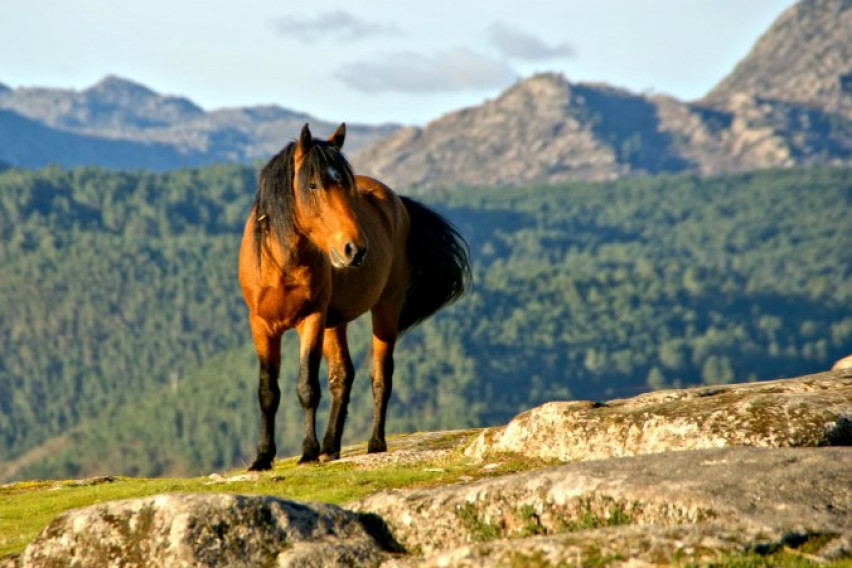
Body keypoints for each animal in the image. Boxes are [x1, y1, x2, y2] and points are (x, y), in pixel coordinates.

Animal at [236, 122, 470, 468]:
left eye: (345, 186)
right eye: (313, 185)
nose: (354, 249)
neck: (281, 263)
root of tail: (397, 201)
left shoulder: (311, 320)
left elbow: (307, 387)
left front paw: (307, 452)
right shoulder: (261, 325)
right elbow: (268, 392)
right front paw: (263, 457)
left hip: (385, 308)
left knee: (381, 376)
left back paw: (374, 443)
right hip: (336, 322)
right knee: (342, 377)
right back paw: (330, 447)